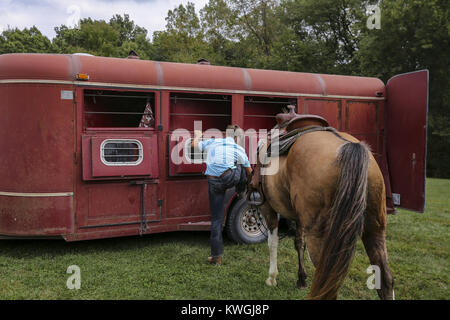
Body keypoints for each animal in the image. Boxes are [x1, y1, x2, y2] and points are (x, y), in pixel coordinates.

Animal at [250, 105, 394, 300]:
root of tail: (351, 148)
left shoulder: (267, 208)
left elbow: (273, 242)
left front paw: (272, 278)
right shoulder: (299, 217)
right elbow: (299, 242)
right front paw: (301, 279)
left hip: (321, 238)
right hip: (375, 229)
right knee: (385, 279)